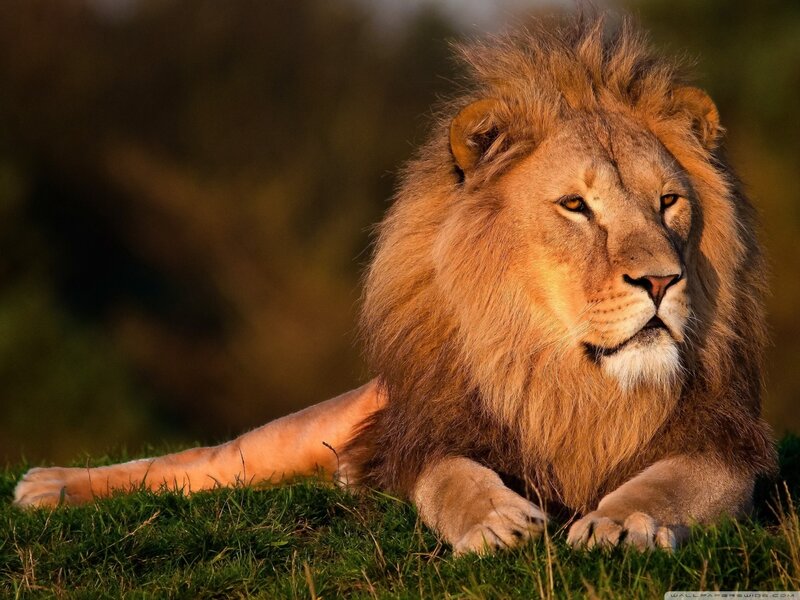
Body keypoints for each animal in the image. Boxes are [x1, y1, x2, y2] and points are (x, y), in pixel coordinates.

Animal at [14, 15, 776, 554]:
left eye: (668, 202)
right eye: (575, 206)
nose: (662, 281)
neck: (569, 380)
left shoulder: (725, 446)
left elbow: (671, 481)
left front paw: (621, 521)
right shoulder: (427, 435)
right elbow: (450, 478)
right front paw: (495, 521)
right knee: (200, 462)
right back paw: (45, 485)